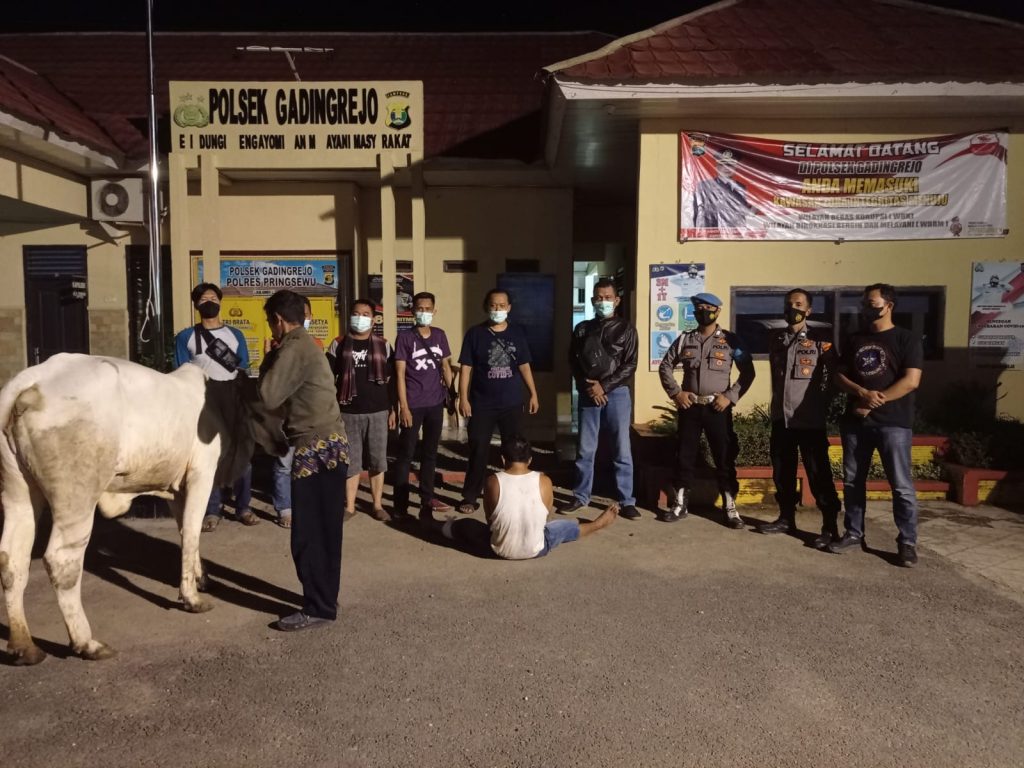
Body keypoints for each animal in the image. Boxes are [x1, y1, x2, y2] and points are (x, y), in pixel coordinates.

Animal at [0, 352, 264, 663]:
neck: (218, 400)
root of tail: (28, 385)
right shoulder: (201, 474)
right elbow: (193, 531)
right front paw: (192, 597)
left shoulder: (177, 489)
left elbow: (185, 533)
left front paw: (202, 578)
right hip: (77, 497)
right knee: (61, 560)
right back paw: (86, 642)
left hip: (19, 492)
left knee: (11, 560)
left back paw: (24, 645)